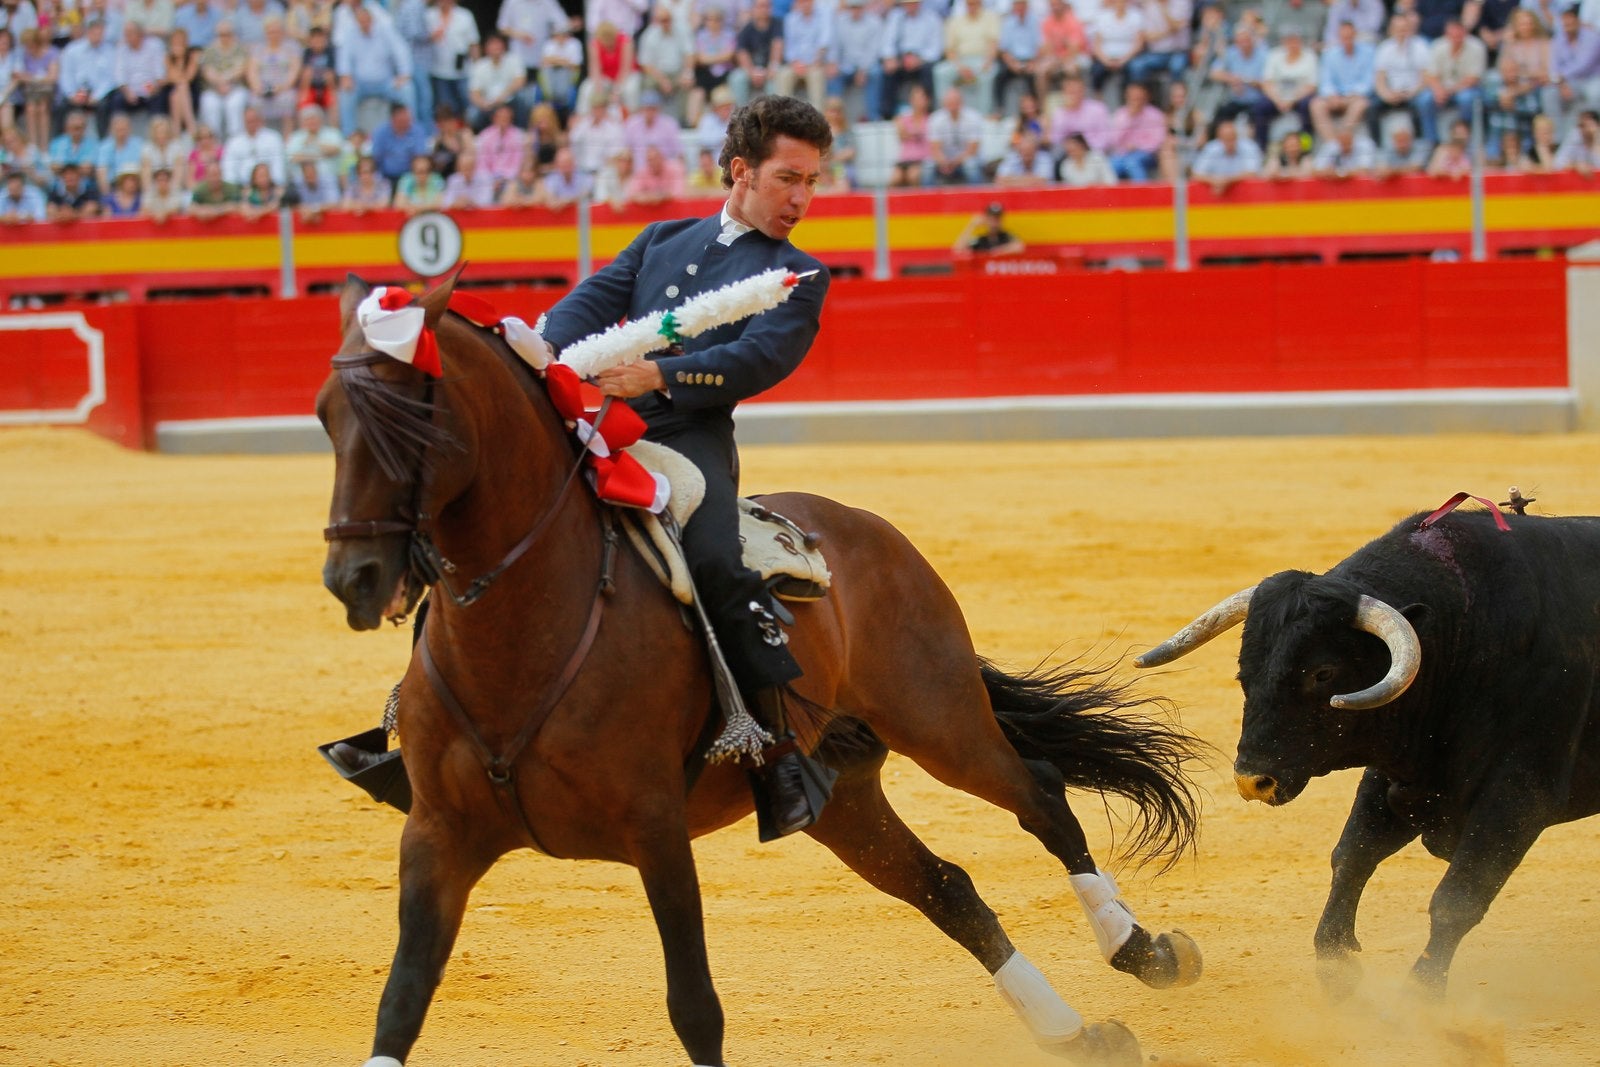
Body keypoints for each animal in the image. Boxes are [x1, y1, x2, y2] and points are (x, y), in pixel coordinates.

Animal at [318, 275, 1203, 1067]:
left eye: (413, 418)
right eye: (327, 415)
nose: (353, 578)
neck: (522, 630)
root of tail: (858, 524)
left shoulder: (655, 828)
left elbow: (694, 1005)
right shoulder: (438, 835)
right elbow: (401, 1000)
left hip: (938, 715)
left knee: (1041, 795)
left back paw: (1143, 950)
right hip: (840, 790)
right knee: (949, 887)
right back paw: (1076, 1032)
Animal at [1132, 508, 1600, 991]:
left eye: (1323, 673)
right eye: (1245, 671)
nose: (1252, 781)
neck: (1466, 637)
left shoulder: (1519, 795)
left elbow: (1458, 897)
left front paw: (1423, 992)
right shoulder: (1401, 775)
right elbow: (1352, 854)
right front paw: (1336, 964)